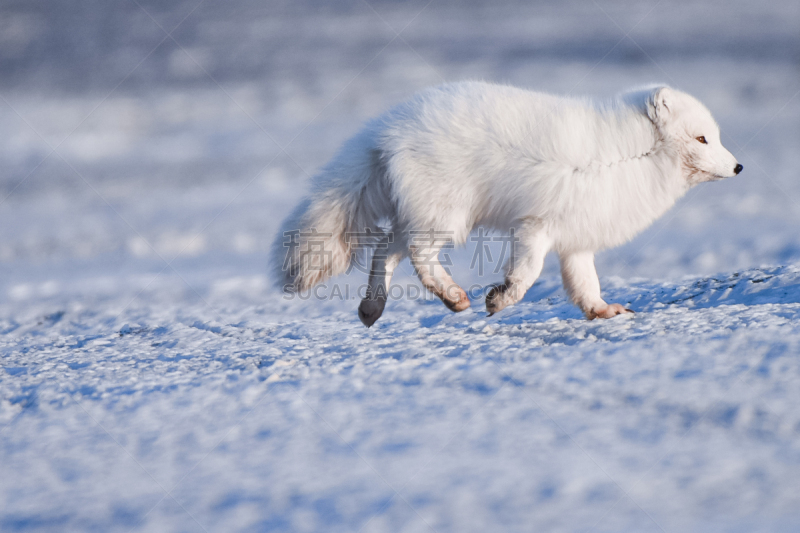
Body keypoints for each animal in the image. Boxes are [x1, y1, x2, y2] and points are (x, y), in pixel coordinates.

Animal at [270, 81, 744, 326]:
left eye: (716, 137)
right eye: (703, 138)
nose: (739, 166)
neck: (627, 155)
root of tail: (383, 129)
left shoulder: (576, 237)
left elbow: (584, 283)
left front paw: (603, 311)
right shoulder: (536, 225)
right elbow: (528, 273)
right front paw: (500, 300)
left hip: (424, 215)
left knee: (386, 248)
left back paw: (374, 307)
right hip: (447, 216)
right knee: (417, 255)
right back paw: (454, 296)